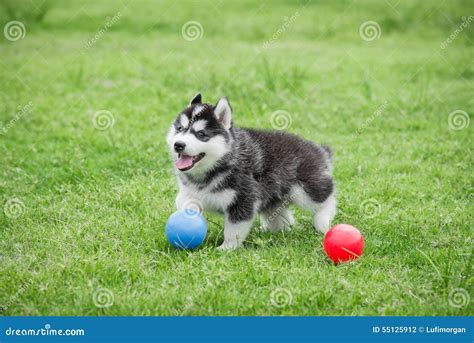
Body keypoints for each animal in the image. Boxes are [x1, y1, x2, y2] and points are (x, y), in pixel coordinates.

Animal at [167, 94, 336, 250]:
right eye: (180, 129)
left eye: (201, 134)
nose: (178, 145)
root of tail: (318, 150)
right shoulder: (190, 191)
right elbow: (182, 200)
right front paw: (190, 213)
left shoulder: (243, 199)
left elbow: (233, 230)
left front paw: (226, 248)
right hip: (273, 197)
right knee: (280, 217)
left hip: (305, 189)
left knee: (325, 199)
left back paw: (323, 221)